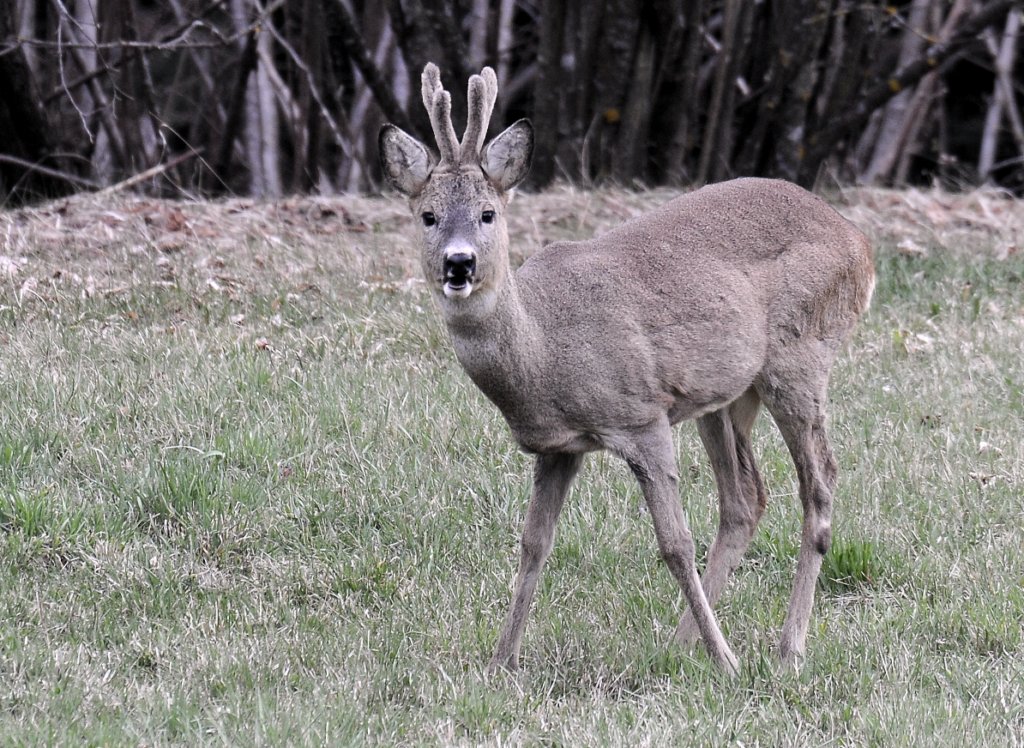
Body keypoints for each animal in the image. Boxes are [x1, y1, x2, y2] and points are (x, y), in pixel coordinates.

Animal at [380, 62, 876, 672]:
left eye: (487, 213)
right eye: (428, 216)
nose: (459, 263)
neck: (544, 351)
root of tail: (861, 244)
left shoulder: (643, 417)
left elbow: (674, 543)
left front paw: (729, 663)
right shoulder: (558, 447)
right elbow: (533, 543)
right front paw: (501, 662)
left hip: (800, 358)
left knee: (820, 482)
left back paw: (784, 649)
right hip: (726, 394)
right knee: (745, 498)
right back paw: (681, 645)